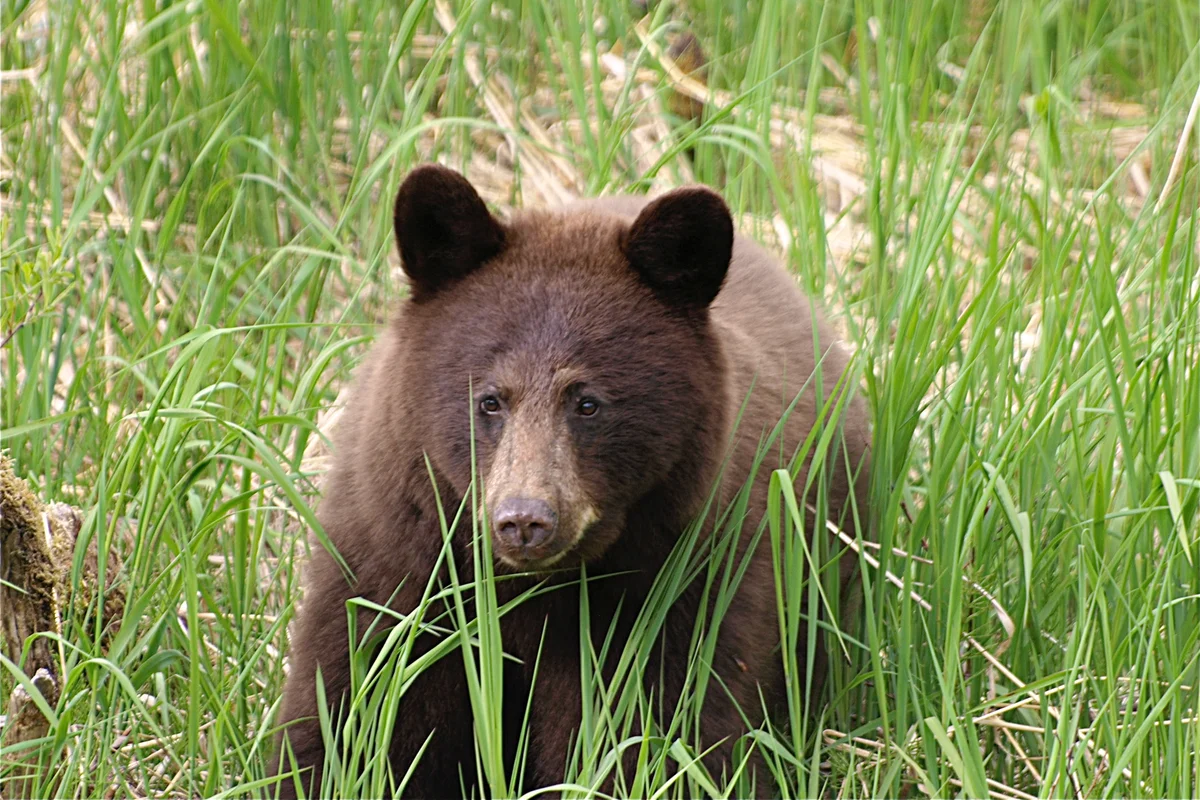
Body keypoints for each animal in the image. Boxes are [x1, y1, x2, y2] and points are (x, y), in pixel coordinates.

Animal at [272, 164, 873, 800]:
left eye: (587, 402)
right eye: (489, 399)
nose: (524, 520)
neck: (526, 589)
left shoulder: (679, 581)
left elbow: (655, 728)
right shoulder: (397, 563)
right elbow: (357, 710)